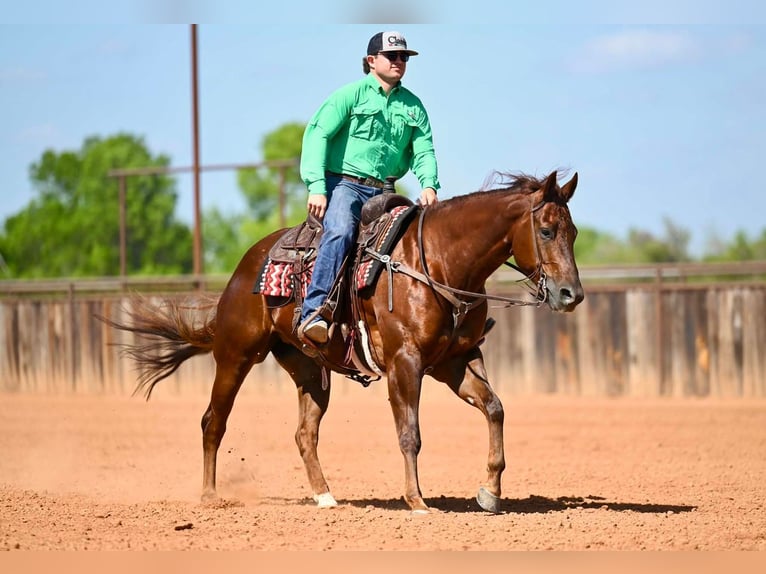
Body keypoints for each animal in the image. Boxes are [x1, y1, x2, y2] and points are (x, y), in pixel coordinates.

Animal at [104, 169, 583, 514]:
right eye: (546, 230)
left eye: (574, 233)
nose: (571, 294)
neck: (436, 262)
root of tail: (246, 266)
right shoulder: (405, 363)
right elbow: (410, 433)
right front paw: (417, 501)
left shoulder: (453, 361)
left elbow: (495, 408)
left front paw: (490, 491)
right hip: (236, 355)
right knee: (212, 422)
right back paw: (209, 496)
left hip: (308, 369)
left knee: (304, 434)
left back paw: (325, 496)